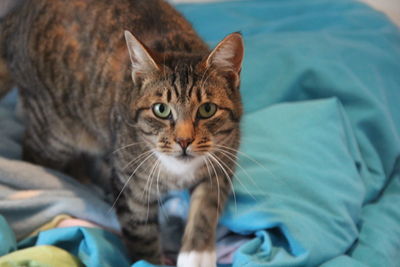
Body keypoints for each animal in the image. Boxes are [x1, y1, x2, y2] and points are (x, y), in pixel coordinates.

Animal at [0, 0, 244, 266]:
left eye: (207, 109)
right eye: (161, 109)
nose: (184, 140)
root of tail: (18, 13)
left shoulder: (221, 163)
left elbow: (206, 210)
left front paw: (197, 255)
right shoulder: (132, 188)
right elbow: (142, 235)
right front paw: (151, 260)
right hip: (55, 131)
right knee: (33, 153)